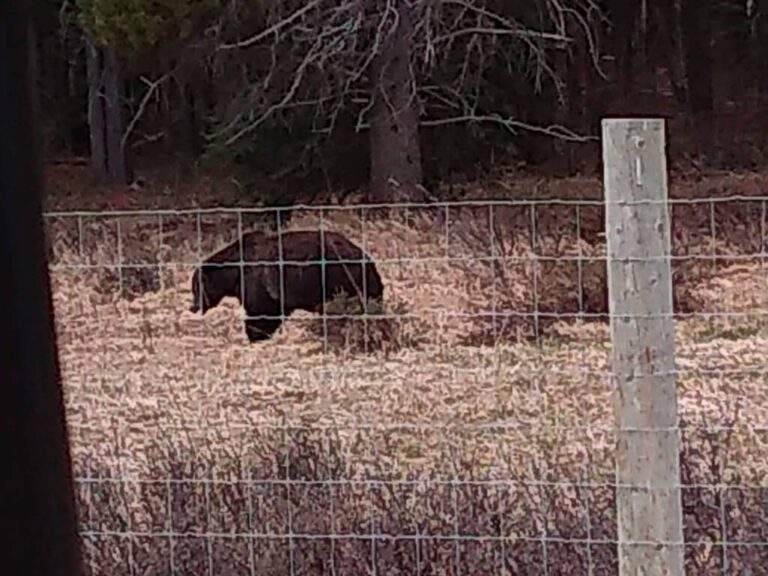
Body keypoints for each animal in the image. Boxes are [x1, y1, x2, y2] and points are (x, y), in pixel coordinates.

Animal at [188, 228, 384, 342]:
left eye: (196, 288)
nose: (193, 306)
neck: (235, 272)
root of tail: (367, 259)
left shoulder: (261, 286)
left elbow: (261, 316)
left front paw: (255, 337)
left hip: (341, 278)